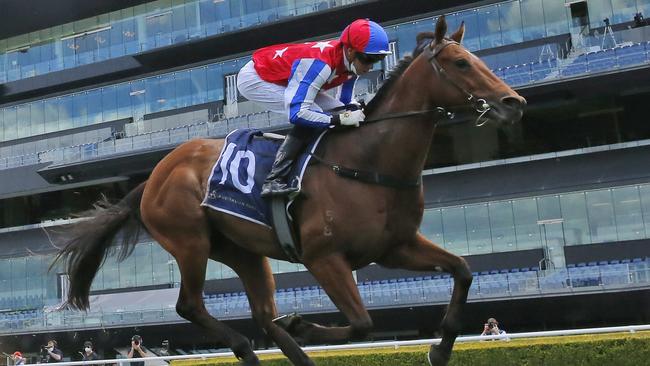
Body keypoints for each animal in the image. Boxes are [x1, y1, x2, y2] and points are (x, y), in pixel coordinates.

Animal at [53, 17, 524, 366]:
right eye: (461, 63)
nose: (513, 103)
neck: (369, 161)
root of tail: (152, 177)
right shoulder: (323, 257)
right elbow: (362, 322)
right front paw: (302, 323)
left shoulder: (395, 247)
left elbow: (463, 270)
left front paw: (440, 349)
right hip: (190, 241)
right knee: (190, 306)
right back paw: (246, 349)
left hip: (243, 250)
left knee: (263, 316)